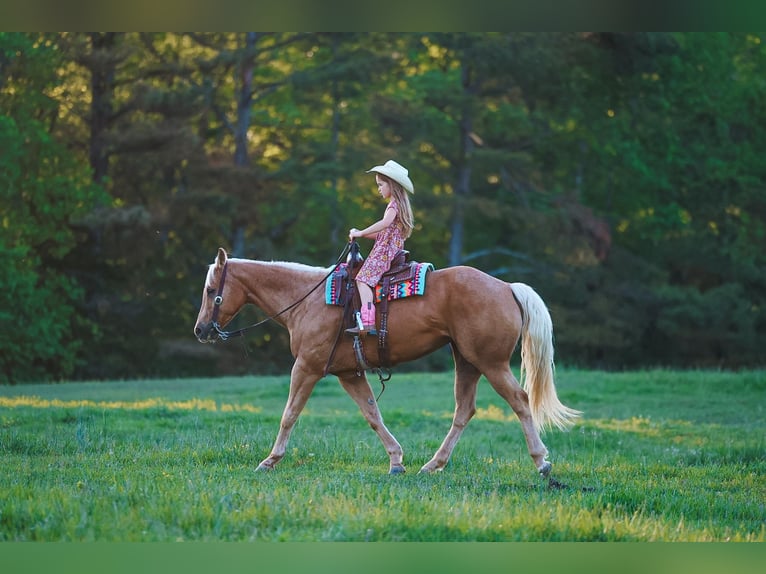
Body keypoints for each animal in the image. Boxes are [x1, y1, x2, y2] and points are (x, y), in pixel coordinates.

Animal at [194, 247, 580, 477]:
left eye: (212, 290)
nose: (200, 329)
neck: (307, 300)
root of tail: (506, 287)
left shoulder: (306, 367)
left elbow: (289, 414)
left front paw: (270, 460)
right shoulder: (349, 373)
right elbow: (372, 414)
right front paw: (396, 460)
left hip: (491, 362)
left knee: (519, 401)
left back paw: (541, 461)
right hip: (467, 361)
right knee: (464, 410)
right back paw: (433, 464)